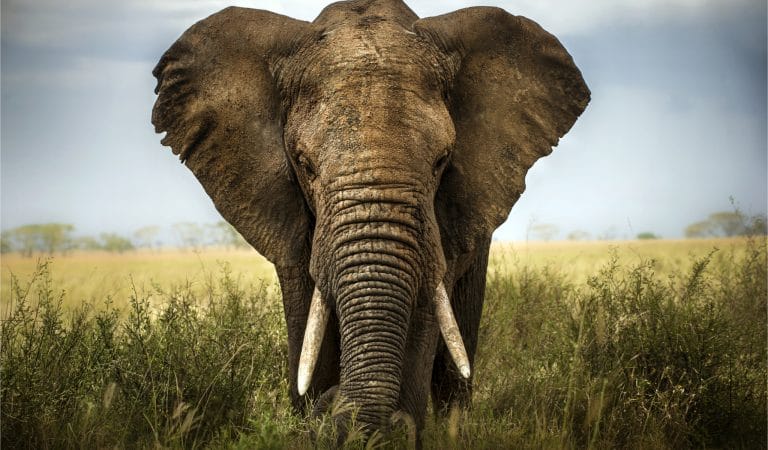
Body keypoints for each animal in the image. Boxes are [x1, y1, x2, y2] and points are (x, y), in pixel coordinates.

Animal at [151, 0, 589, 440]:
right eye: (304, 164)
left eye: (442, 160)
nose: (333, 405)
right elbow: (307, 317)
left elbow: (424, 311)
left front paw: (395, 429)